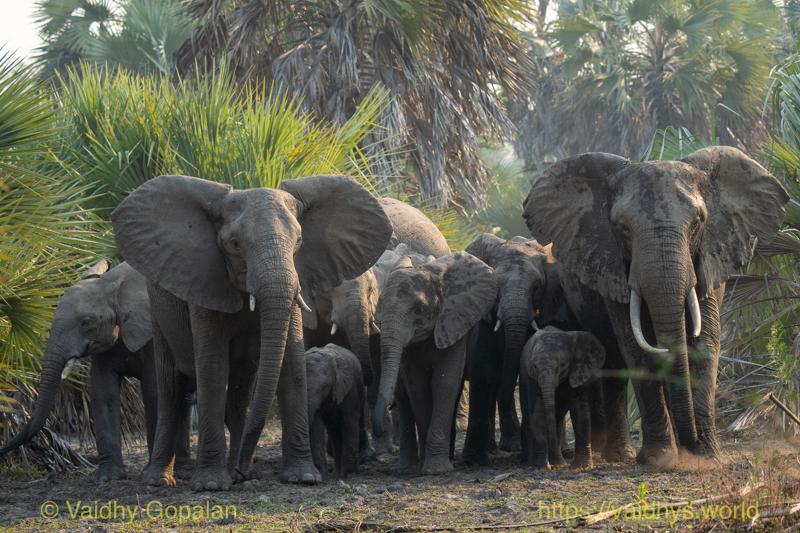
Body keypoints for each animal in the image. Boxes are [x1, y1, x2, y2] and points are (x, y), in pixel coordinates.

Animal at [0, 261, 190, 481]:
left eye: (86, 322)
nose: (3, 450)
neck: (111, 285)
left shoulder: (153, 332)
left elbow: (155, 393)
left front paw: (148, 472)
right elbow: (103, 392)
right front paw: (109, 477)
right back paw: (183, 468)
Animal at [305, 344, 364, 479]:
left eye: (324, 387)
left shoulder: (349, 387)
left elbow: (350, 420)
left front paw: (349, 473)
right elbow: (316, 426)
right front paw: (322, 475)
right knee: (335, 432)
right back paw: (336, 474)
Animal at [373, 252, 498, 474]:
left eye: (419, 308)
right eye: (380, 305)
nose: (376, 430)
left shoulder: (454, 320)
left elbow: (444, 383)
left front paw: (437, 470)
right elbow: (418, 387)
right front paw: (428, 466)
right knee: (403, 396)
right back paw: (406, 468)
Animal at [520, 326, 605, 469]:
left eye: (562, 365)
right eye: (534, 366)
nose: (559, 463)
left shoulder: (577, 372)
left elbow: (580, 412)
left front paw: (582, 466)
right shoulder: (531, 377)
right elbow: (538, 412)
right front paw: (542, 466)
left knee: (558, 417)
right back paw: (532, 461)